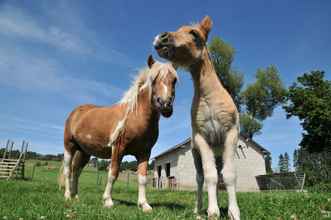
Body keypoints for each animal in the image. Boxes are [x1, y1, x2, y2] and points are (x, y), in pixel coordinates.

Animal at [61, 55, 178, 212]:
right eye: (153, 80)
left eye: (174, 80)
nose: (165, 105)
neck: (136, 117)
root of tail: (75, 112)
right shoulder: (118, 148)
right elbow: (113, 173)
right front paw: (108, 201)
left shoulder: (144, 153)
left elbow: (142, 178)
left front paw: (144, 205)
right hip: (69, 146)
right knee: (68, 170)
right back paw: (68, 196)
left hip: (84, 152)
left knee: (76, 171)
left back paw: (76, 197)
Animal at [154, 16, 243, 219]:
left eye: (194, 34)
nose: (161, 38)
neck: (210, 97)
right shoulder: (202, 138)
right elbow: (209, 176)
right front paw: (213, 211)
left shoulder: (231, 134)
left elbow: (229, 175)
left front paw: (234, 212)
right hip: (196, 154)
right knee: (201, 178)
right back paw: (199, 208)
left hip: (219, 152)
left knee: (219, 173)